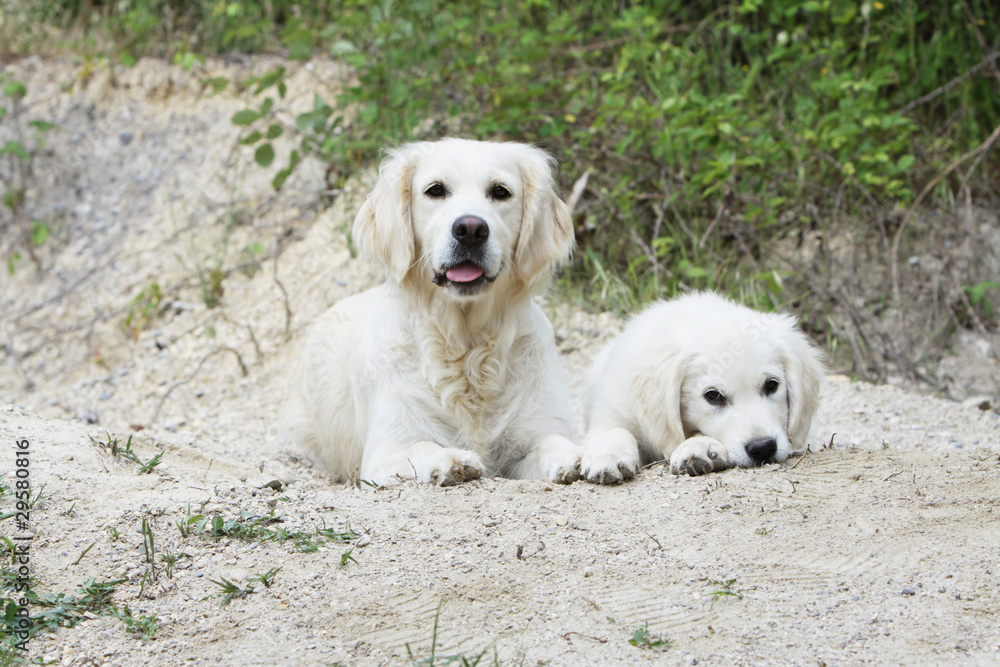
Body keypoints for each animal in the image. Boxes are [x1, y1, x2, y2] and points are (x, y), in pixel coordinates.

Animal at [282, 138, 584, 488]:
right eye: (435, 190)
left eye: (500, 191)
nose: (470, 229)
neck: (467, 347)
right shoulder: (386, 451)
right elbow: (423, 446)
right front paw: (451, 458)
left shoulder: (534, 433)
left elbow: (552, 442)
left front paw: (578, 455)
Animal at [584, 290, 824, 480]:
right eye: (713, 396)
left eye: (771, 385)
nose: (763, 448)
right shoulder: (612, 409)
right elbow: (614, 430)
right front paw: (609, 456)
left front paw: (699, 447)